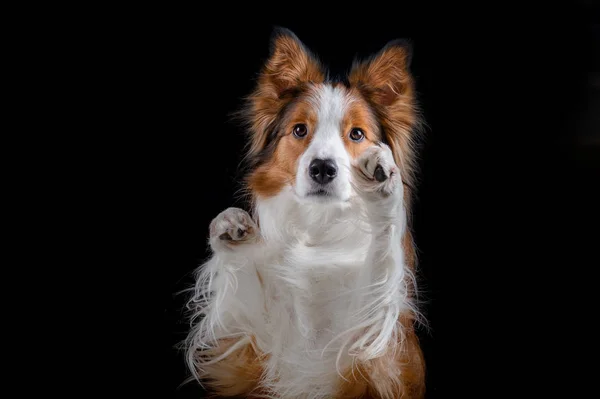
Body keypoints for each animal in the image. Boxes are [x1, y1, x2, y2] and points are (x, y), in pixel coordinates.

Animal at [185, 28, 424, 399]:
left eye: (357, 134)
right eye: (300, 130)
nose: (322, 168)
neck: (319, 225)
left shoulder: (378, 357)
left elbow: (377, 277)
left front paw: (382, 185)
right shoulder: (254, 355)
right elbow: (246, 309)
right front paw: (231, 232)